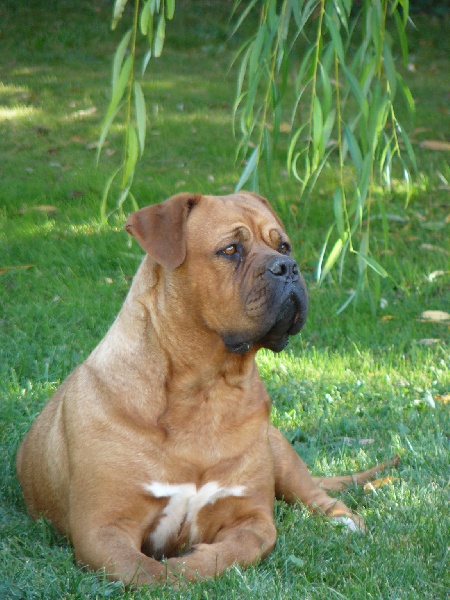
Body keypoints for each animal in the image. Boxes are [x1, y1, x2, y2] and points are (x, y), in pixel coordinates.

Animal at [16, 192, 398, 584]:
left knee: (316, 495)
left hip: (282, 455)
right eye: (230, 249)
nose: (287, 267)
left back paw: (344, 521)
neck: (207, 390)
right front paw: (171, 575)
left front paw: (190, 565)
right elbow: (147, 573)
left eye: (284, 246)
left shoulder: (252, 517)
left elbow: (235, 549)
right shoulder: (103, 528)